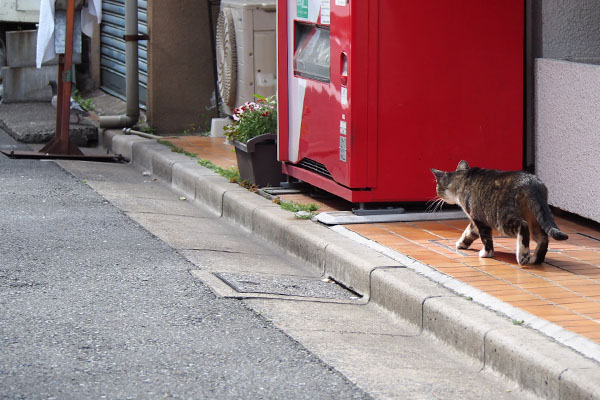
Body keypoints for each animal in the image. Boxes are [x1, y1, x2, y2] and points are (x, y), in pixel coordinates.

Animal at [432, 159, 568, 266]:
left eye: (437, 187)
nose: (437, 196)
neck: (462, 179)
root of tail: (532, 183)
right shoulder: (476, 221)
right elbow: (468, 232)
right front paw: (461, 243)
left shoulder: (480, 219)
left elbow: (486, 239)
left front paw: (486, 254)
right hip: (535, 217)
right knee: (543, 237)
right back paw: (535, 259)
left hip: (503, 220)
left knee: (523, 226)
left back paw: (523, 256)